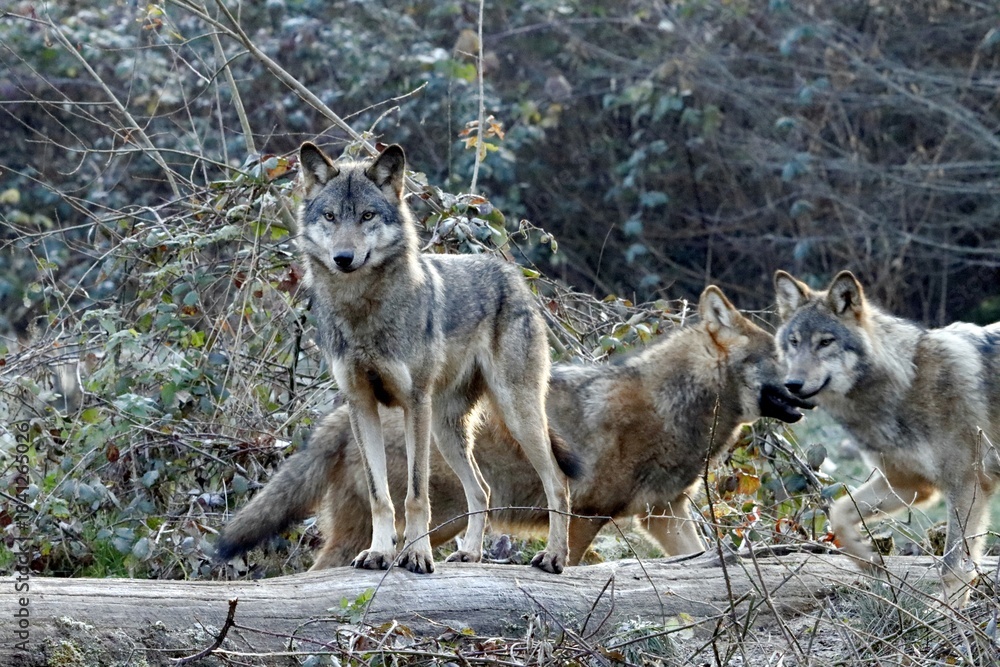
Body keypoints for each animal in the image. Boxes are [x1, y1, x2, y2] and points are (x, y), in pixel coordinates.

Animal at [216, 286, 811, 569]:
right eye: (783, 353)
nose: (810, 387)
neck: (676, 408)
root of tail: (339, 417)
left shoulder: (664, 516)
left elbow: (700, 558)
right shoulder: (588, 516)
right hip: (418, 524)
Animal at [244, 142, 573, 574]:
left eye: (367, 215)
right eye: (330, 216)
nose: (343, 258)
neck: (362, 310)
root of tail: (510, 273)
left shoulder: (414, 403)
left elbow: (415, 495)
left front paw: (416, 555)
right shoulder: (361, 405)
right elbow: (380, 496)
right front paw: (380, 552)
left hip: (513, 415)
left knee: (557, 482)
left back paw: (554, 557)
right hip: (447, 431)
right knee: (482, 489)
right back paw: (470, 553)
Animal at [774, 269, 1000, 604]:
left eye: (825, 342)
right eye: (794, 342)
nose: (792, 384)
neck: (905, 384)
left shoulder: (968, 484)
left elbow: (953, 568)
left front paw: (945, 617)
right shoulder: (908, 484)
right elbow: (838, 515)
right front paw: (870, 561)